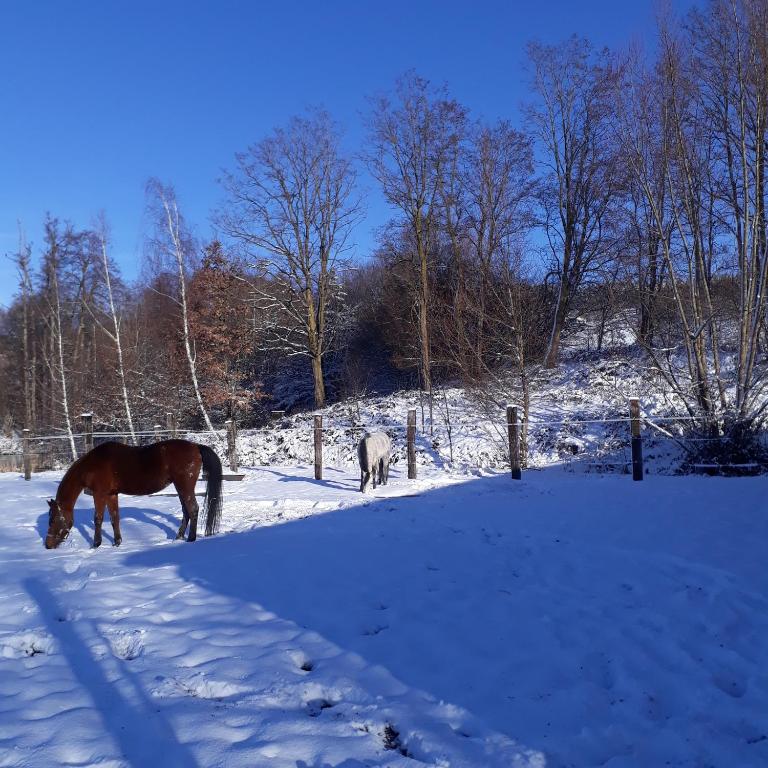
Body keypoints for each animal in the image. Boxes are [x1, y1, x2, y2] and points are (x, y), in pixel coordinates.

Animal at [44, 439, 223, 550]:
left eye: (52, 520)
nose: (48, 545)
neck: (92, 465)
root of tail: (195, 446)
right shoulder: (111, 495)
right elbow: (114, 518)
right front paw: (117, 542)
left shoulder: (99, 494)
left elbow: (98, 519)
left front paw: (96, 544)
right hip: (180, 488)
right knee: (186, 511)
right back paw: (178, 537)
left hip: (184, 487)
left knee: (193, 509)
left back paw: (191, 538)